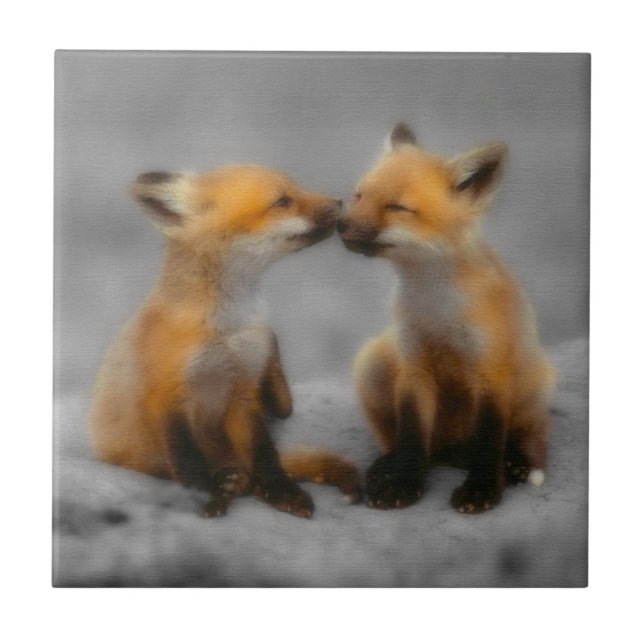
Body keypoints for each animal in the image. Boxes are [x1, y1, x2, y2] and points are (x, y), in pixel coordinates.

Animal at [90, 164, 362, 519]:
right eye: (282, 201)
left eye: (296, 189)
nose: (340, 201)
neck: (226, 330)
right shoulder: (166, 397)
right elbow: (188, 458)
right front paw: (202, 497)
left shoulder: (244, 389)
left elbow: (265, 453)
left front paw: (282, 491)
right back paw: (228, 480)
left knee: (255, 459)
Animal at [337, 123, 555, 514]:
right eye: (359, 196)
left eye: (396, 207)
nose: (336, 223)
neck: (436, 307)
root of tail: (452, 449)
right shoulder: (413, 365)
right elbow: (411, 438)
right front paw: (404, 484)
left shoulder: (490, 370)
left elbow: (488, 439)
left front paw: (481, 491)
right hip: (371, 361)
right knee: (412, 445)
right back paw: (387, 465)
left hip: (536, 381)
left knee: (526, 434)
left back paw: (514, 462)